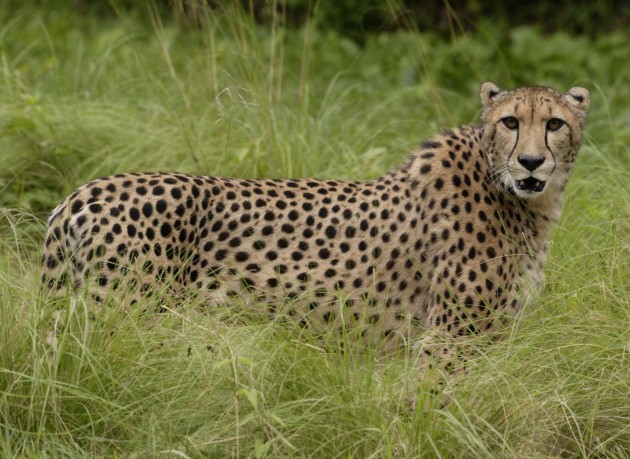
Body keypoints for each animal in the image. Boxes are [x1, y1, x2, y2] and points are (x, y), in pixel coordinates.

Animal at [40, 82, 592, 376]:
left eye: (555, 124)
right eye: (510, 121)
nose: (531, 162)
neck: (521, 199)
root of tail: (81, 191)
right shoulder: (448, 341)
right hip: (117, 321)